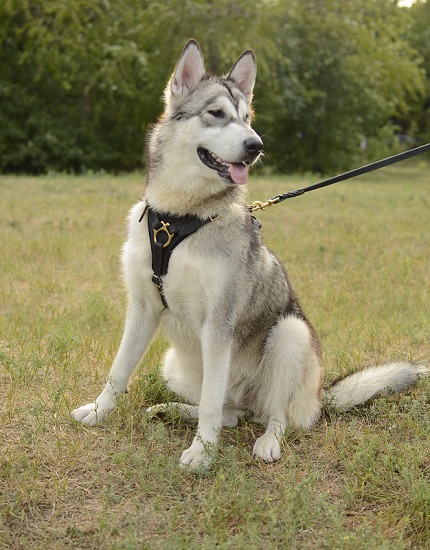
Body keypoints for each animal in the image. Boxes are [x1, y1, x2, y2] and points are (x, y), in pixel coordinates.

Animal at [72, 40, 428, 470]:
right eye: (216, 114)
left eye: (247, 118)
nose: (256, 146)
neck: (178, 220)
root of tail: (321, 396)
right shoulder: (142, 307)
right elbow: (119, 371)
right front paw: (98, 410)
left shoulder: (218, 323)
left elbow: (211, 404)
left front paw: (202, 453)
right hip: (175, 364)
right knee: (228, 413)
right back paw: (174, 410)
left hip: (289, 335)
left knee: (272, 415)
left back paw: (266, 442)